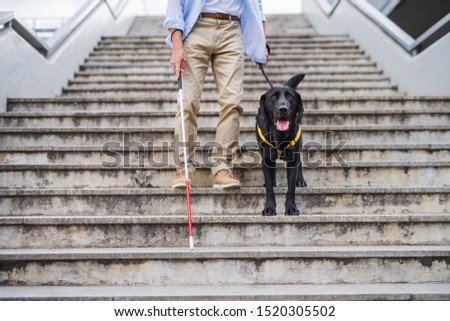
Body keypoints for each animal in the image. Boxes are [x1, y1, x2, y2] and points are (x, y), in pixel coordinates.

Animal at [256, 73, 306, 215]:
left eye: (290, 97)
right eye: (273, 97)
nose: (283, 109)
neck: (280, 135)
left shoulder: (293, 160)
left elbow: (291, 189)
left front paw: (291, 208)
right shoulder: (266, 159)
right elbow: (269, 188)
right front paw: (269, 208)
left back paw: (300, 180)